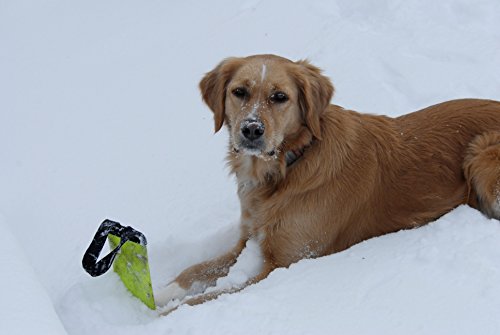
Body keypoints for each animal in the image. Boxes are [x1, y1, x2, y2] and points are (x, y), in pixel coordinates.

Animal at [158, 53, 500, 312]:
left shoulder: (284, 263)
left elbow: (210, 296)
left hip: (482, 154)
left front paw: (167, 315)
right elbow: (194, 270)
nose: (251, 130)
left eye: (279, 97)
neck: (288, 165)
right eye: (239, 92)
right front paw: (160, 293)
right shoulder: (247, 238)